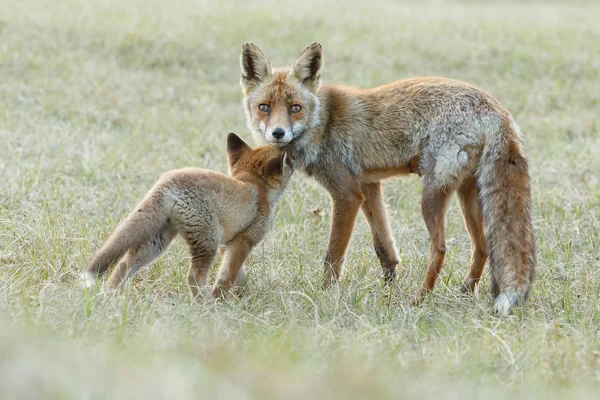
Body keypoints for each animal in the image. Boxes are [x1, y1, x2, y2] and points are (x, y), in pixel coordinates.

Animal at [239, 41, 536, 316]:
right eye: (264, 107)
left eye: (295, 108)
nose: (278, 133)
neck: (324, 123)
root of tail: (495, 108)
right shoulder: (369, 186)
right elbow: (384, 249)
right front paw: (388, 293)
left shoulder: (347, 194)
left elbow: (333, 256)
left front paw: (323, 295)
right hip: (467, 195)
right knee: (482, 247)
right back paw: (463, 293)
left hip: (431, 194)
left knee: (440, 248)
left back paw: (420, 299)